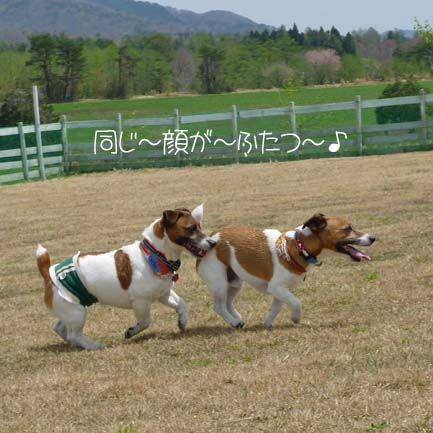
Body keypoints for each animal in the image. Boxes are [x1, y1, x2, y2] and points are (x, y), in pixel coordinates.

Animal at [36, 204, 215, 350]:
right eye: (191, 228)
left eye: (200, 226)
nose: (213, 242)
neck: (155, 254)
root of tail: (48, 272)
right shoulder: (141, 302)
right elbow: (145, 321)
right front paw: (131, 331)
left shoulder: (163, 294)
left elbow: (182, 304)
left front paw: (182, 321)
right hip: (77, 312)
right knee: (74, 334)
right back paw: (94, 345)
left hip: (71, 308)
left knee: (61, 329)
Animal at [197, 213, 374, 328]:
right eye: (348, 228)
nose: (373, 238)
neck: (299, 247)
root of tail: (209, 240)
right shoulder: (277, 287)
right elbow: (296, 302)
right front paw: (295, 318)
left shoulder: (281, 290)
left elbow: (275, 308)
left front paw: (268, 324)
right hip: (219, 282)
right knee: (219, 306)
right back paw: (234, 322)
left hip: (234, 282)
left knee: (227, 302)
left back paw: (237, 318)